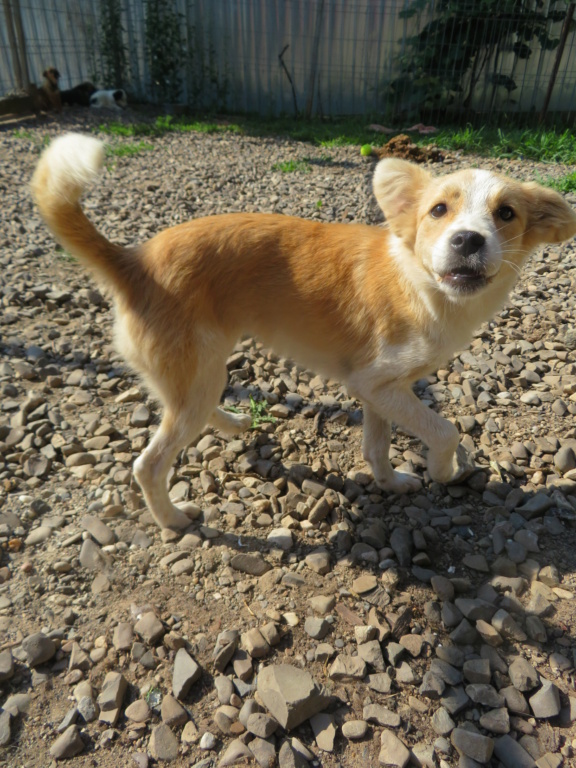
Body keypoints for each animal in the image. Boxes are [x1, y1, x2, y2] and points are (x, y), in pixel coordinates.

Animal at [32, 134, 576, 528]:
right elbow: (445, 429)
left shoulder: (380, 389)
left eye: (506, 214)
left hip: (203, 371)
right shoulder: (376, 384)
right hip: (195, 373)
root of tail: (133, 261)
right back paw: (174, 520)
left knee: (192, 408)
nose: (468, 240)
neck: (420, 281)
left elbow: (376, 446)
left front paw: (391, 484)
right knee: (148, 463)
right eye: (438, 210)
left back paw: (233, 422)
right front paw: (445, 471)